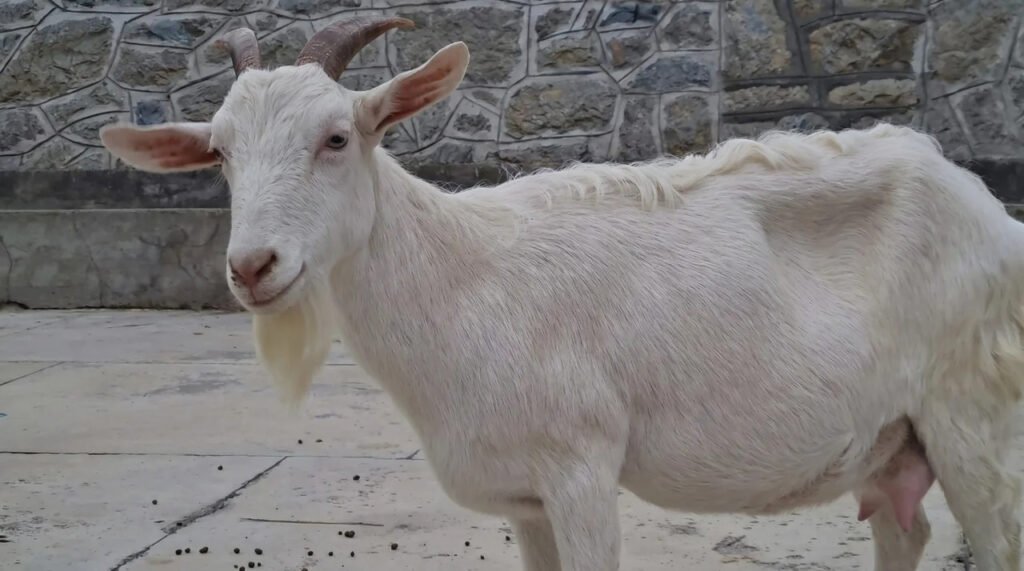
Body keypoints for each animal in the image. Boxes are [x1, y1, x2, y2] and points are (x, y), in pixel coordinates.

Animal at [100, 17, 1024, 571]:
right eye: (219, 153)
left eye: (336, 138)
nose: (254, 265)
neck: (464, 281)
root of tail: (987, 210)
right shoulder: (526, 499)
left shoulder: (580, 467)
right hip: (894, 435)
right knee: (905, 526)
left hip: (966, 409)